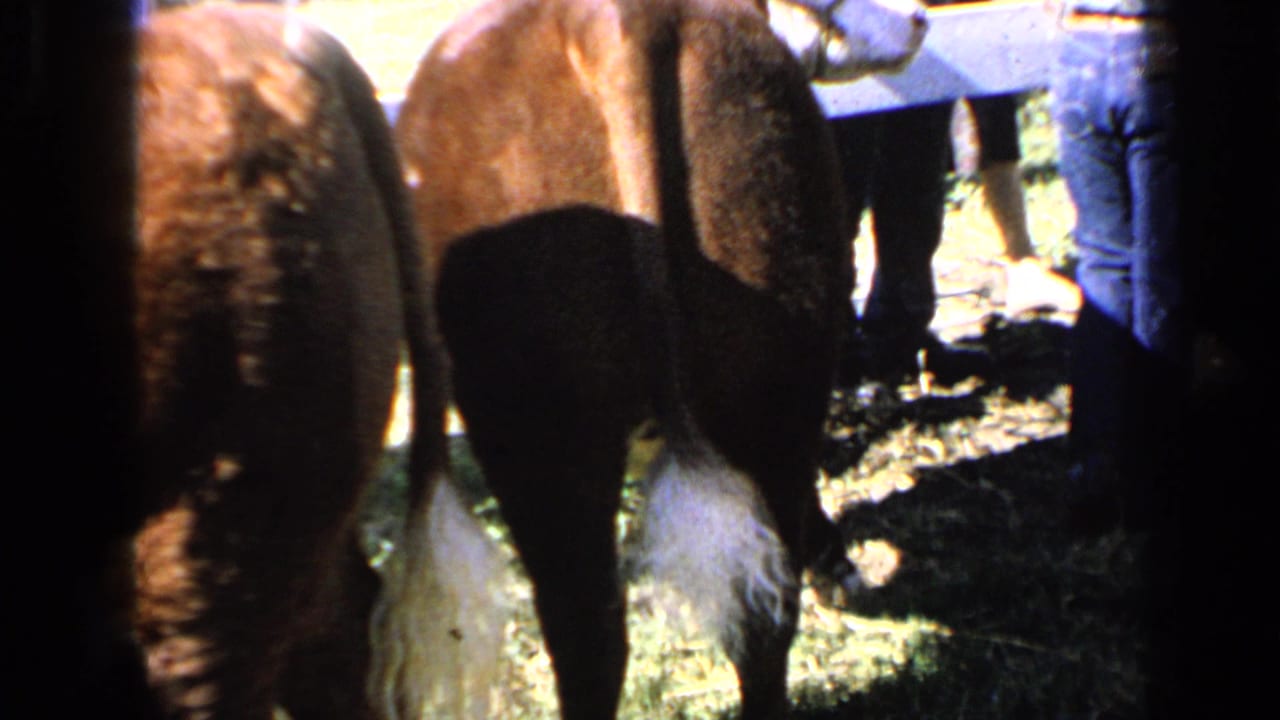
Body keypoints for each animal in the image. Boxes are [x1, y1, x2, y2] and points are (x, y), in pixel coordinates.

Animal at [380, 1, 928, 718]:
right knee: (764, 606)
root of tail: (618, 21)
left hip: (542, 429)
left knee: (587, 627)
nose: (920, 17)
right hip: (778, 365)